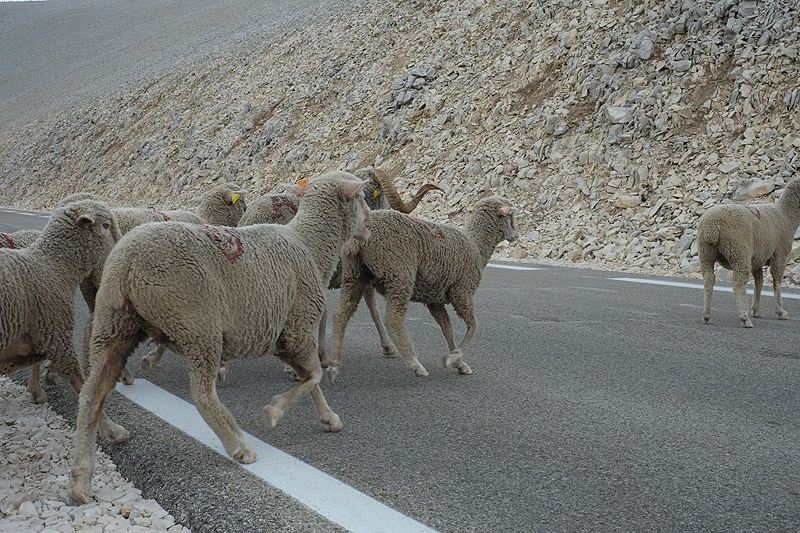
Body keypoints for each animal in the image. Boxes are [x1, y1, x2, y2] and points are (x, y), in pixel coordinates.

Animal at [0, 199, 127, 443]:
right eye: (106, 225)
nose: (121, 247)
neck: (54, 266)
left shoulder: (43, 335)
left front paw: (48, 378)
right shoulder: (57, 335)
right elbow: (82, 386)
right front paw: (112, 429)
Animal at [68, 171, 372, 503]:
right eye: (361, 197)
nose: (370, 222)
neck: (310, 244)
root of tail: (128, 261)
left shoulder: (286, 335)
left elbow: (310, 379)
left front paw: (329, 418)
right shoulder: (298, 326)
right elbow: (314, 376)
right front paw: (274, 412)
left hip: (115, 324)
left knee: (91, 393)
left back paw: (83, 477)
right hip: (198, 326)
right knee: (202, 395)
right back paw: (238, 445)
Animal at [329, 195, 519, 381]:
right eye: (510, 216)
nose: (516, 235)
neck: (476, 246)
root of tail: (356, 242)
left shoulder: (435, 300)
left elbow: (448, 329)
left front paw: (459, 363)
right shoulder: (462, 291)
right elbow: (473, 326)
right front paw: (453, 358)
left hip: (355, 274)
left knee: (341, 313)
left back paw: (334, 363)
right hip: (399, 273)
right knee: (393, 319)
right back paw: (415, 364)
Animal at [698, 176, 800, 328]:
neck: (786, 216)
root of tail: (711, 226)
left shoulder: (757, 259)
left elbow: (759, 282)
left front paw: (756, 310)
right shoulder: (780, 255)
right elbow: (776, 282)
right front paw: (781, 312)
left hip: (706, 253)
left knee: (709, 279)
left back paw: (706, 315)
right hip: (739, 251)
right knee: (738, 283)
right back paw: (744, 318)